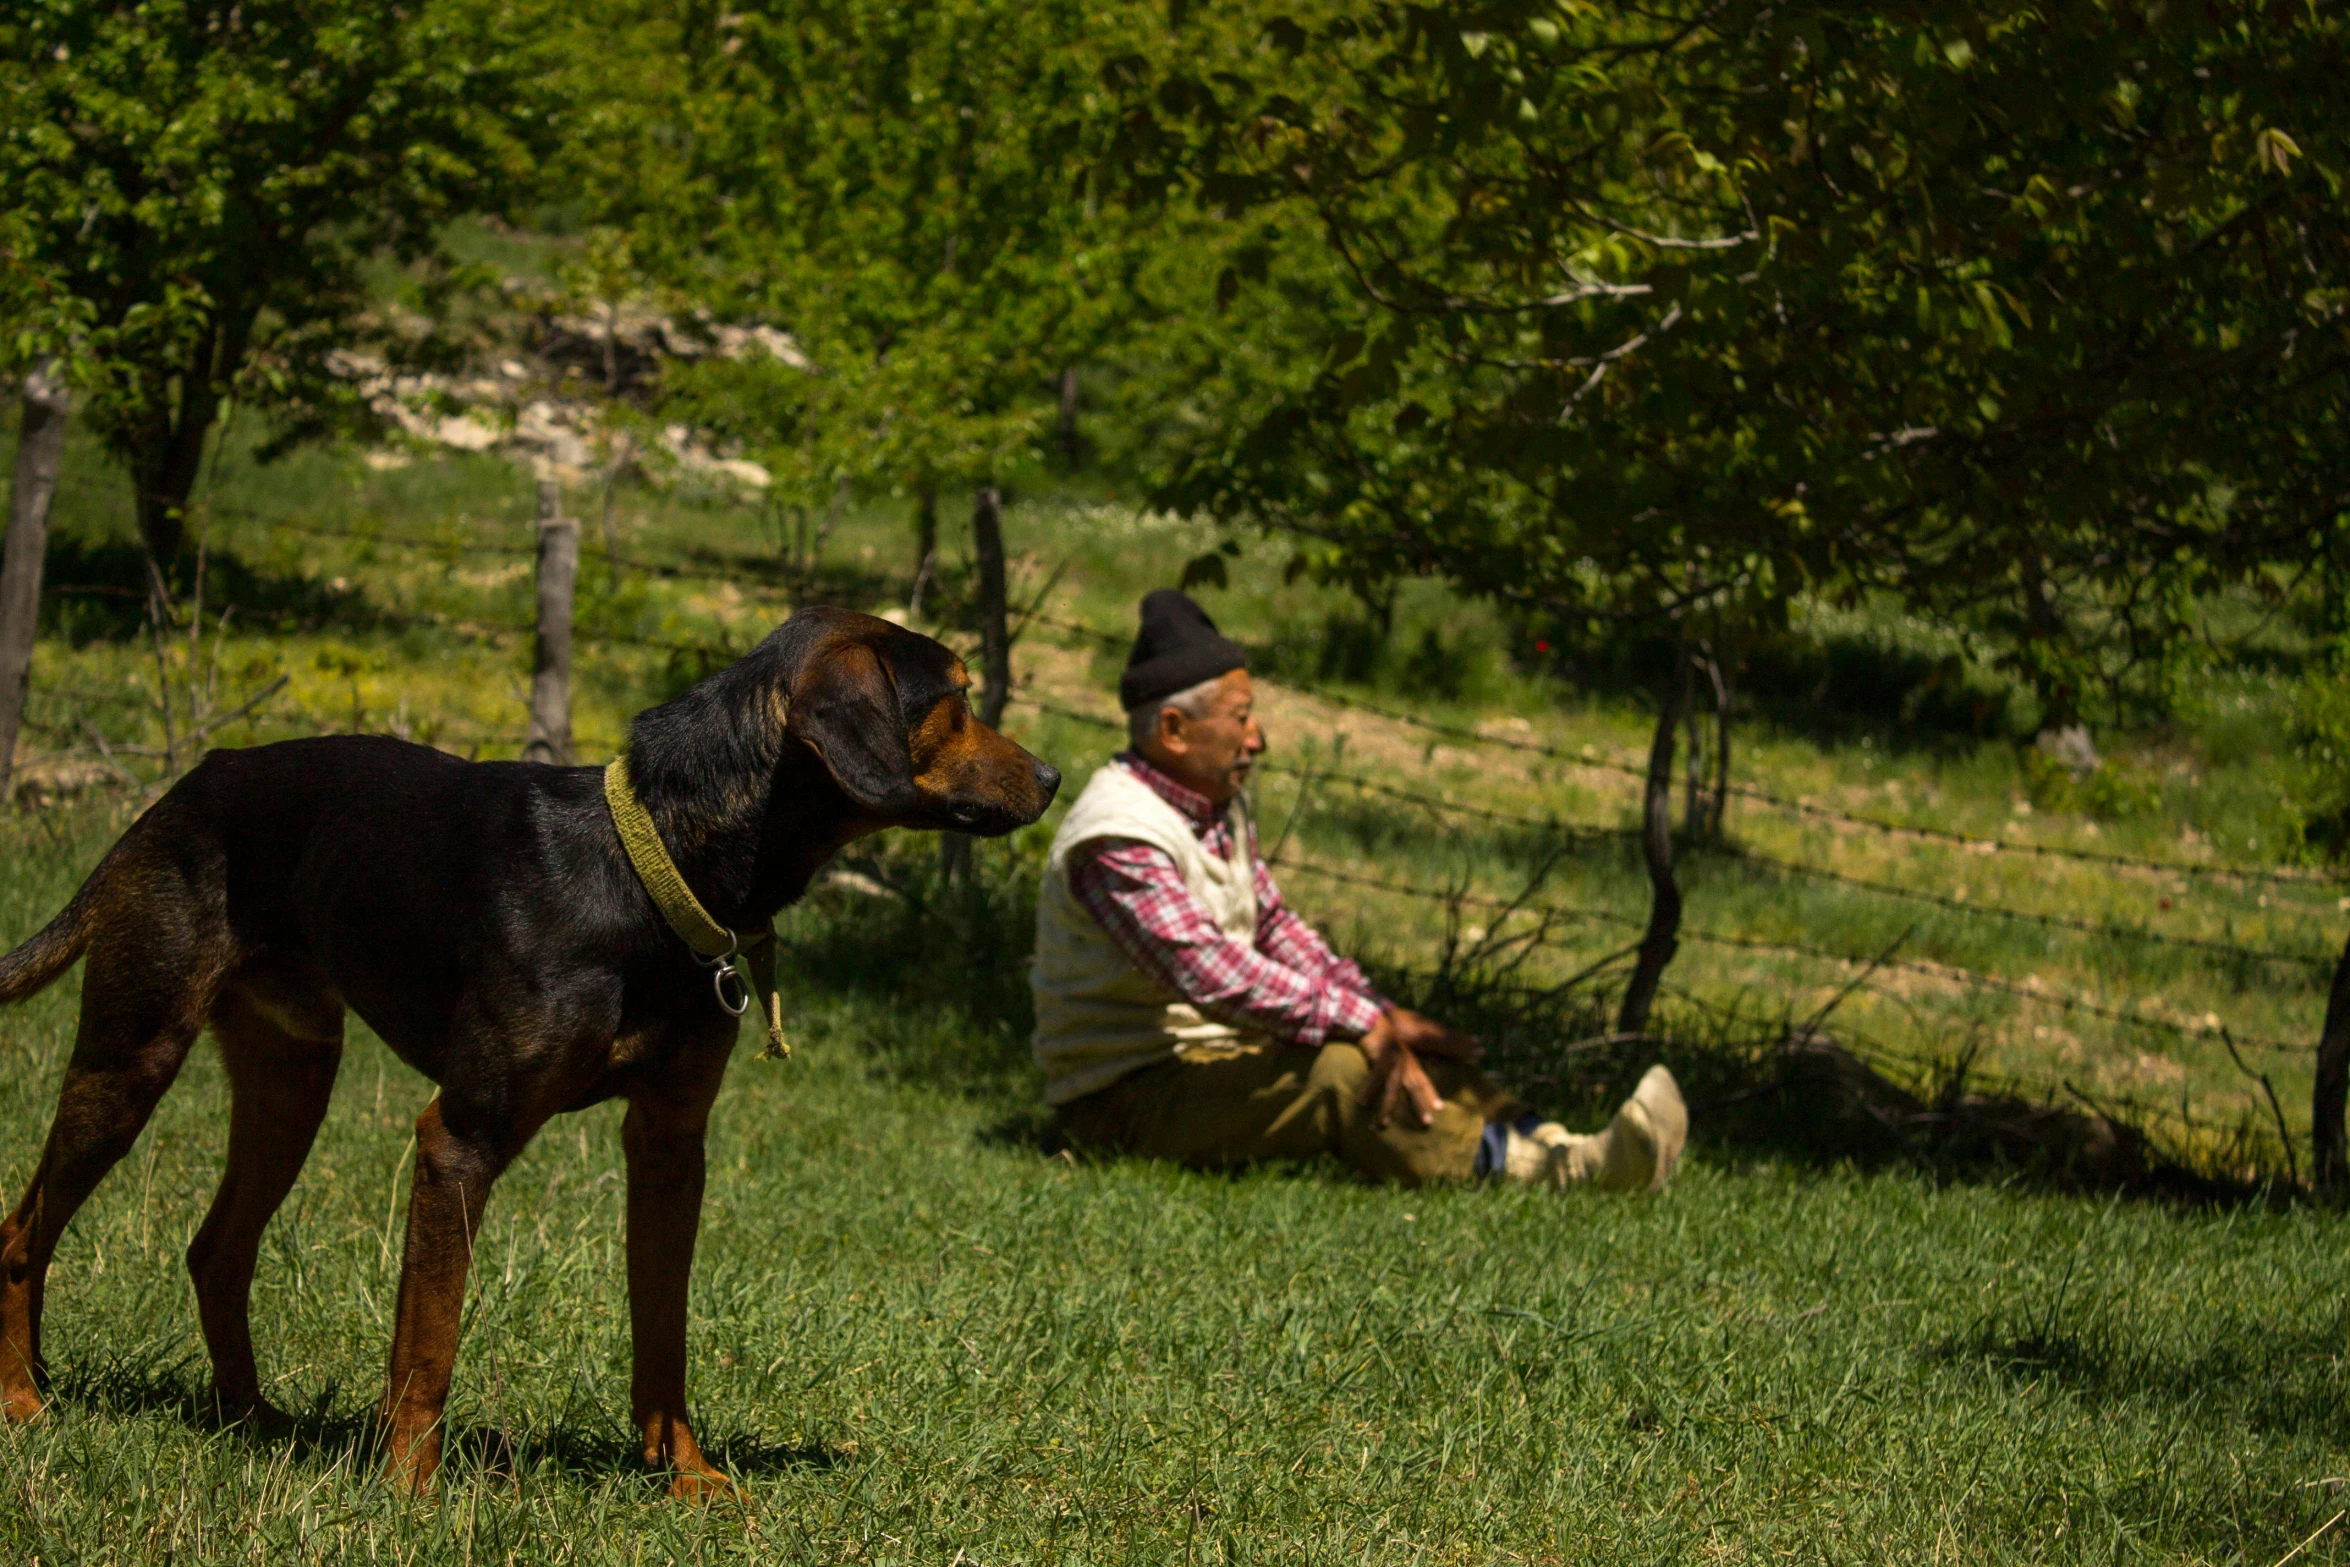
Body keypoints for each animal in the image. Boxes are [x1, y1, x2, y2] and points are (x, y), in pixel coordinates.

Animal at [0, 606, 1057, 1503]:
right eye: (956, 699)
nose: (1050, 778)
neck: (647, 861)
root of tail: (179, 790)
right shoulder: (460, 1137)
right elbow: (428, 1342)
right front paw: (409, 1492)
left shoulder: (671, 1146)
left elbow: (663, 1330)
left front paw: (685, 1477)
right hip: (133, 1051)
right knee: (22, 1233)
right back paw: (25, 1403)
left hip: (293, 1075)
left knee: (216, 1247)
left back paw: (251, 1420)